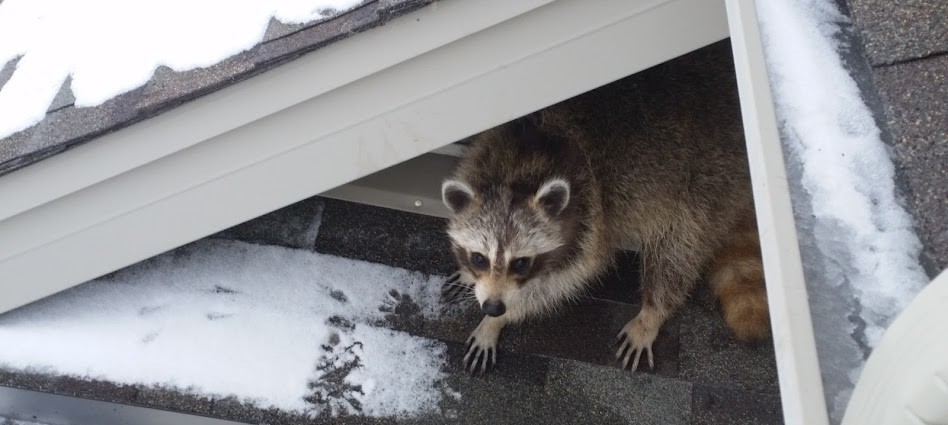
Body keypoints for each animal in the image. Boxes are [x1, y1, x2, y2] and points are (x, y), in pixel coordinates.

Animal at [440, 43, 770, 374]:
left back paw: (653, 309)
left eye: (521, 263)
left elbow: (557, 285)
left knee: (679, 247)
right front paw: (472, 281)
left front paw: (496, 321)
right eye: (479, 258)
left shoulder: (590, 214)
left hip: (709, 180)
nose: (493, 306)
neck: (519, 166)